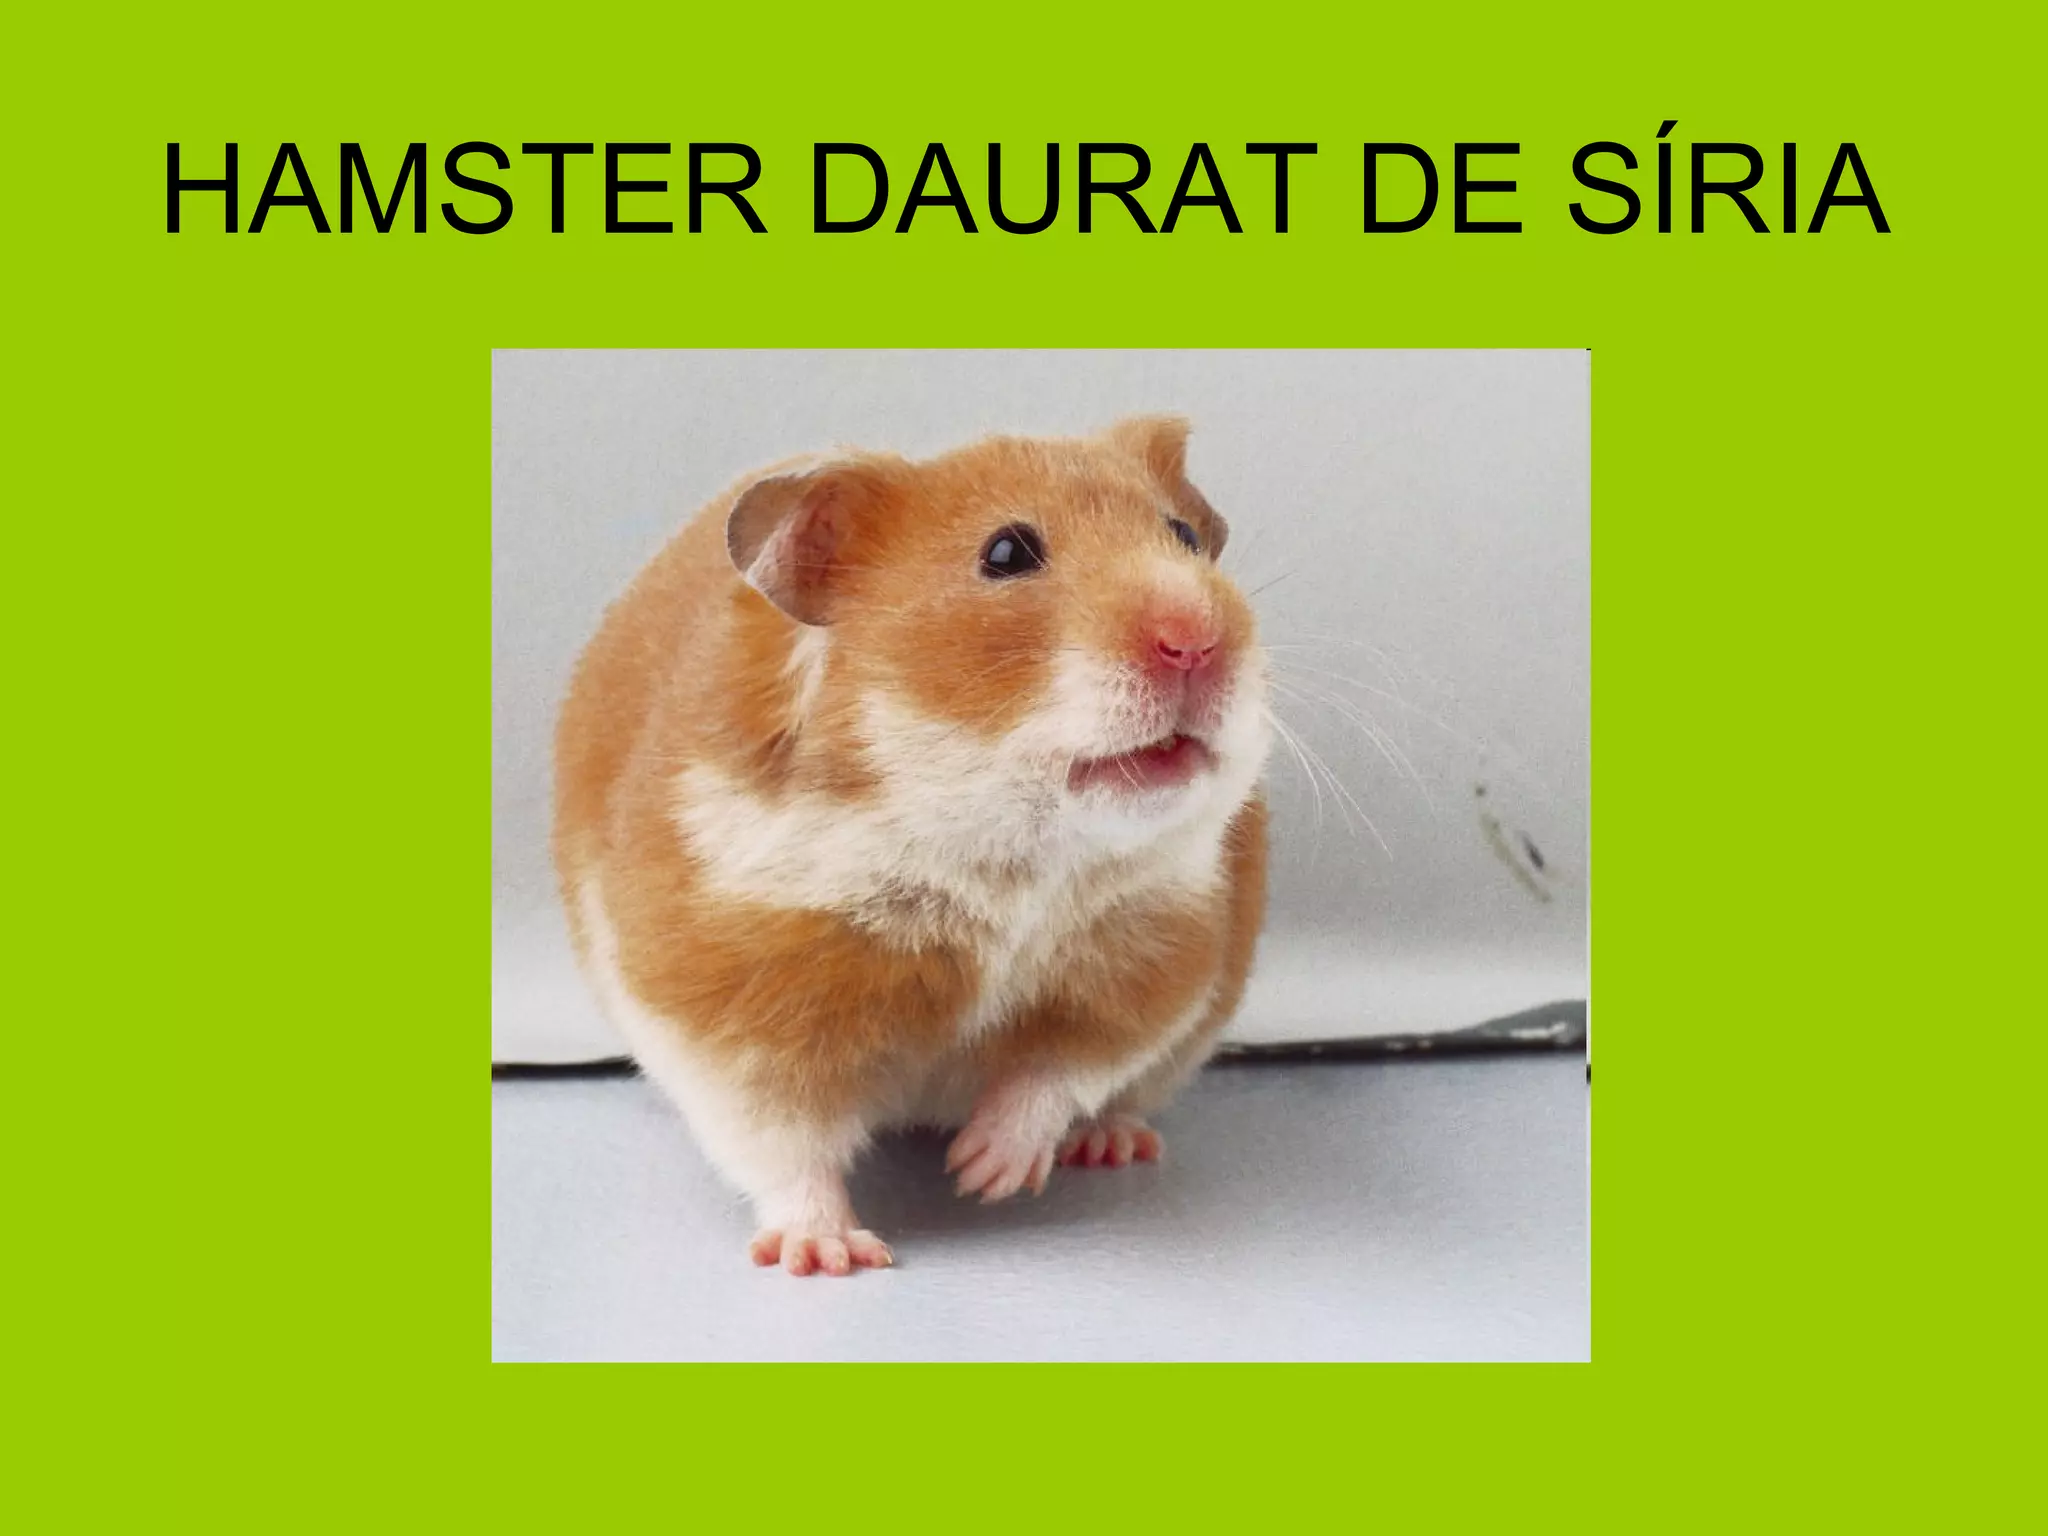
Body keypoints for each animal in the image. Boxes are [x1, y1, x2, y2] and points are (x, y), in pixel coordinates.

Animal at [553, 416, 1271, 1276]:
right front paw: (829, 1255)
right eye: (1006, 553)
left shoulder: (1156, 961)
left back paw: (1112, 1146)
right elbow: (782, 1144)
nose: (1197, 641)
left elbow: (1059, 1068)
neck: (1001, 852)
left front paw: (982, 1171)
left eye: (1185, 536)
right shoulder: (732, 1008)